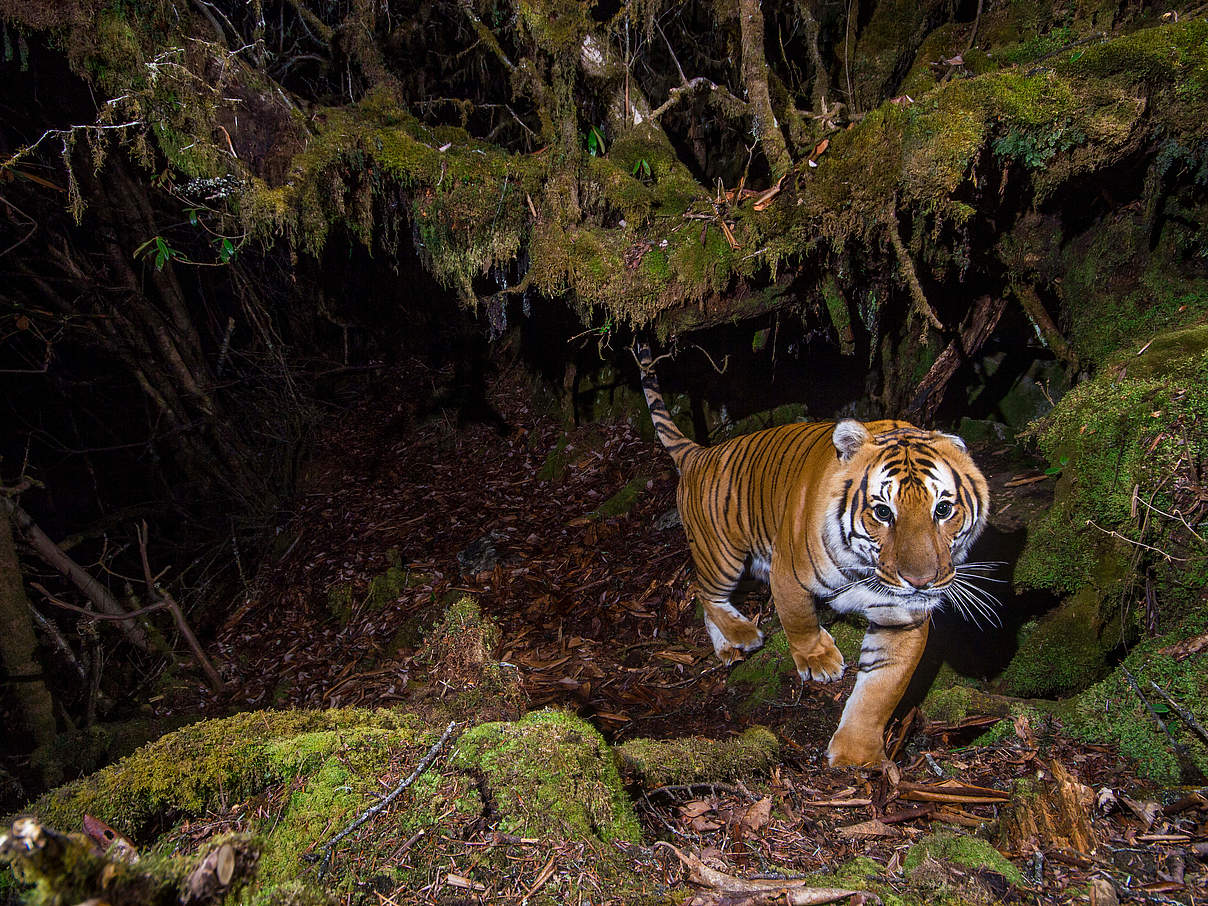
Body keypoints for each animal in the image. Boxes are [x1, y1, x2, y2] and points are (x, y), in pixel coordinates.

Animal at [637, 340, 985, 768]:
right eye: (883, 512)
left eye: (944, 509)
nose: (921, 582)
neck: (867, 569)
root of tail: (699, 453)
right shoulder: (788, 573)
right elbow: (799, 620)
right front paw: (819, 661)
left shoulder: (903, 615)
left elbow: (883, 687)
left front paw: (856, 755)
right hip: (724, 555)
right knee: (704, 591)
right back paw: (743, 633)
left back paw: (727, 647)